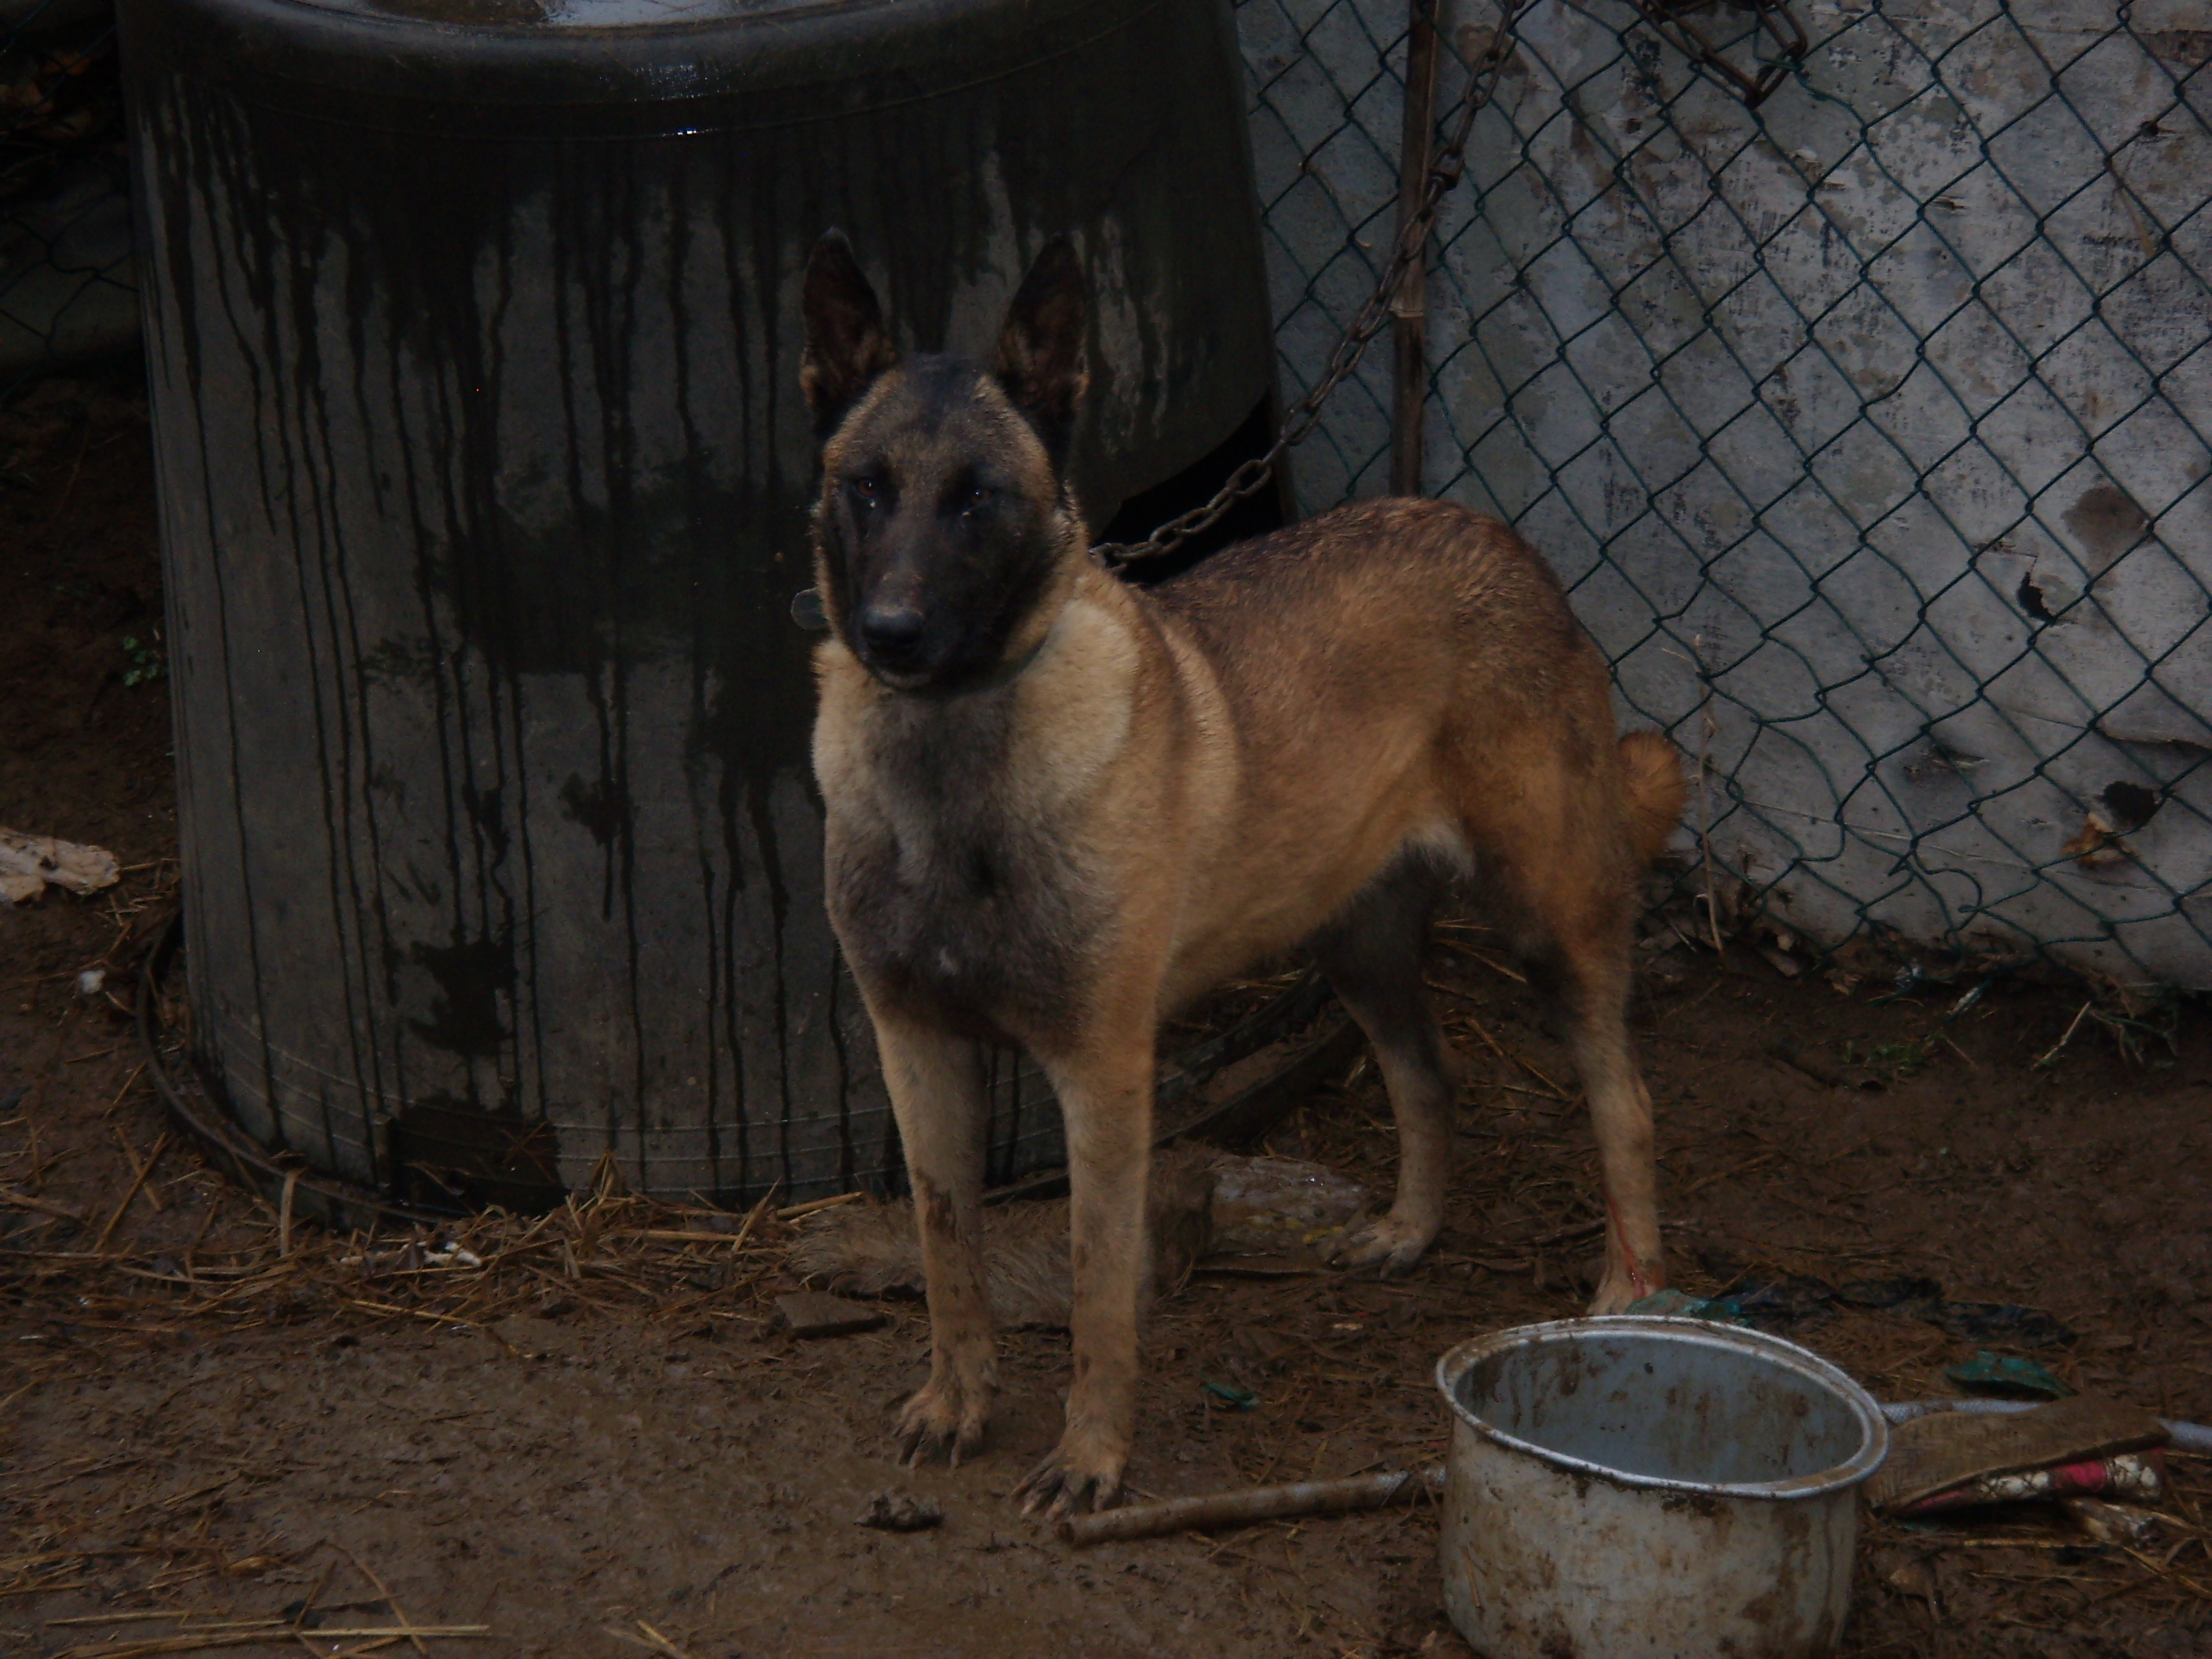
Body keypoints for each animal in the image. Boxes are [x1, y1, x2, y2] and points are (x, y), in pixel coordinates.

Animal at [799, 230, 1688, 1517]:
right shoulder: (915, 1047)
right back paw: (1409, 1232)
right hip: (1358, 951)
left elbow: (1096, 1295)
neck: (956, 761)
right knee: (1428, 1080)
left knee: (1625, 1100)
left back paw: (1630, 1291)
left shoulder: (1103, 1078)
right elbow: (945, 1249)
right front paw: (957, 1405)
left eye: (976, 498)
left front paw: (1090, 1459)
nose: (890, 633)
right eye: (866, 486)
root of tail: (1495, 536)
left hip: (1548, 927)